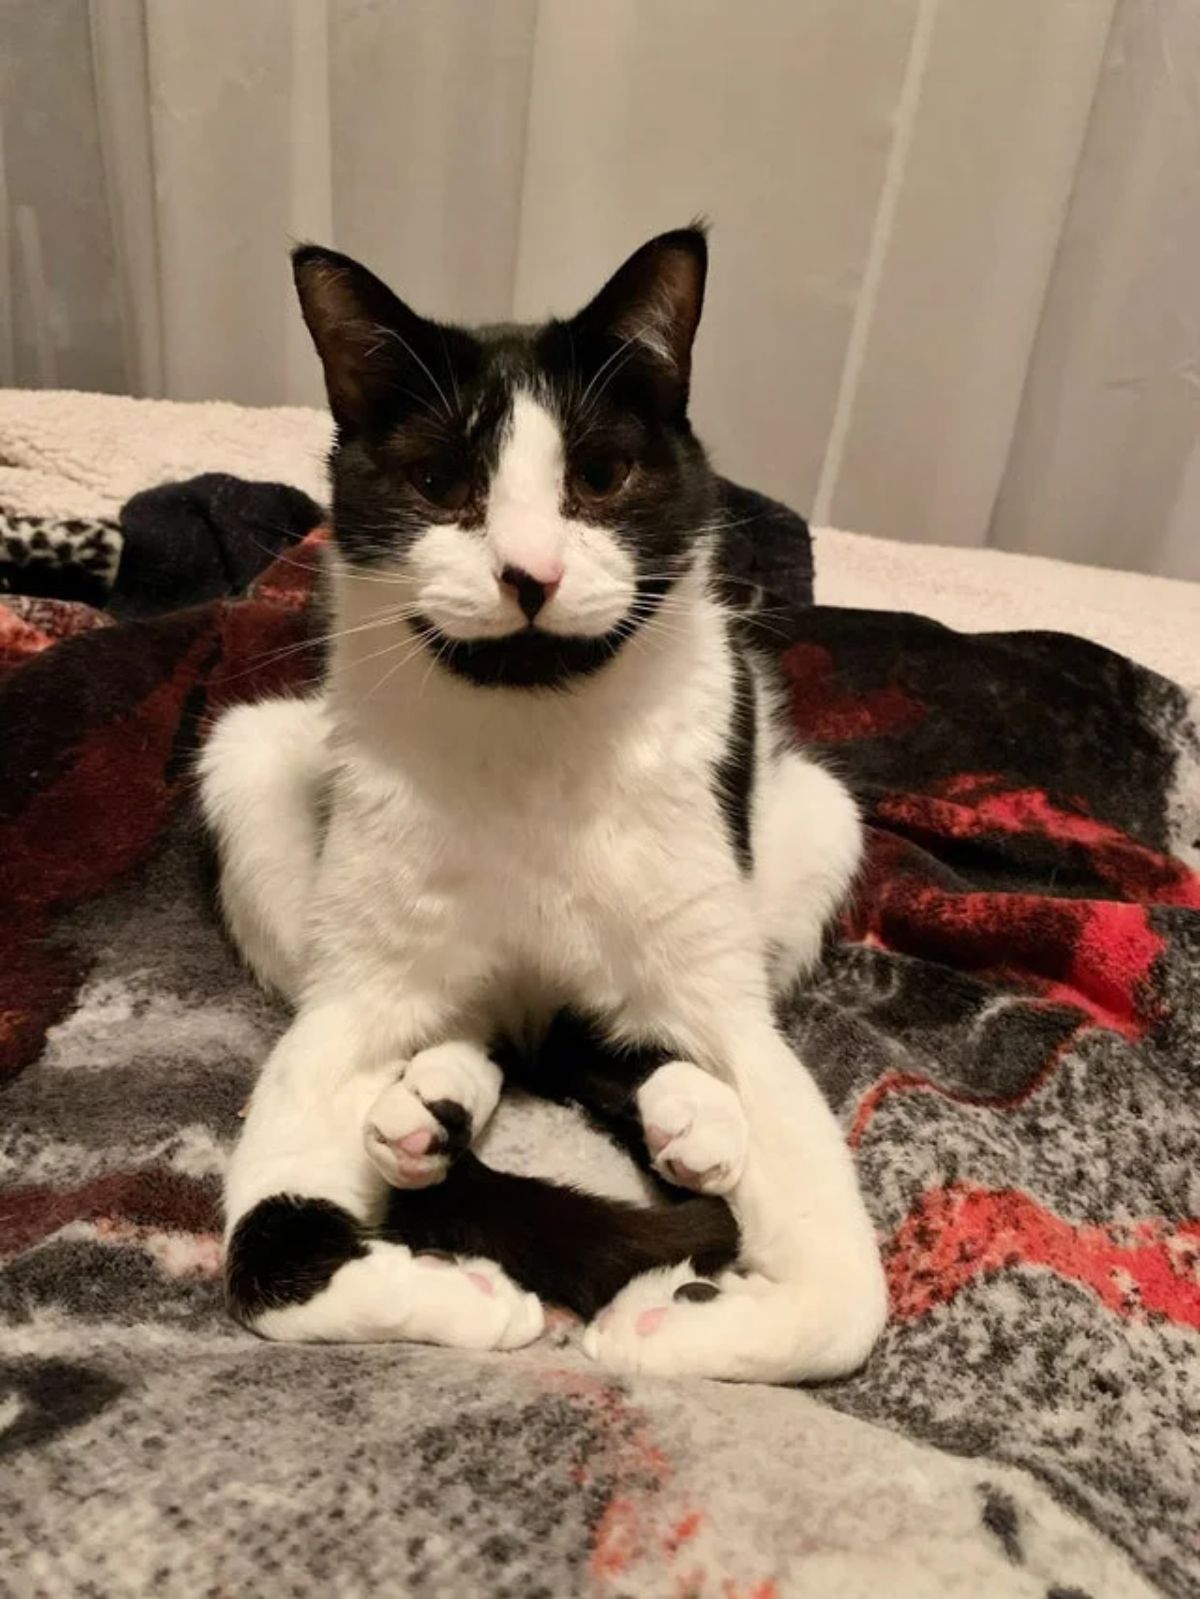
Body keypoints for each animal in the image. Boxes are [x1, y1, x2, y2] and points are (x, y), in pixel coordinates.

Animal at [202, 228, 889, 1387]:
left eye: (601, 477)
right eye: (439, 483)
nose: (531, 573)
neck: (532, 738)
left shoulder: (726, 999)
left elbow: (848, 1304)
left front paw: (666, 1326)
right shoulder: (348, 1004)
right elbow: (265, 1255)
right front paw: (471, 1297)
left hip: (818, 817)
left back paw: (680, 1115)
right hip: (247, 761)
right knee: (488, 1035)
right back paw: (435, 1105)